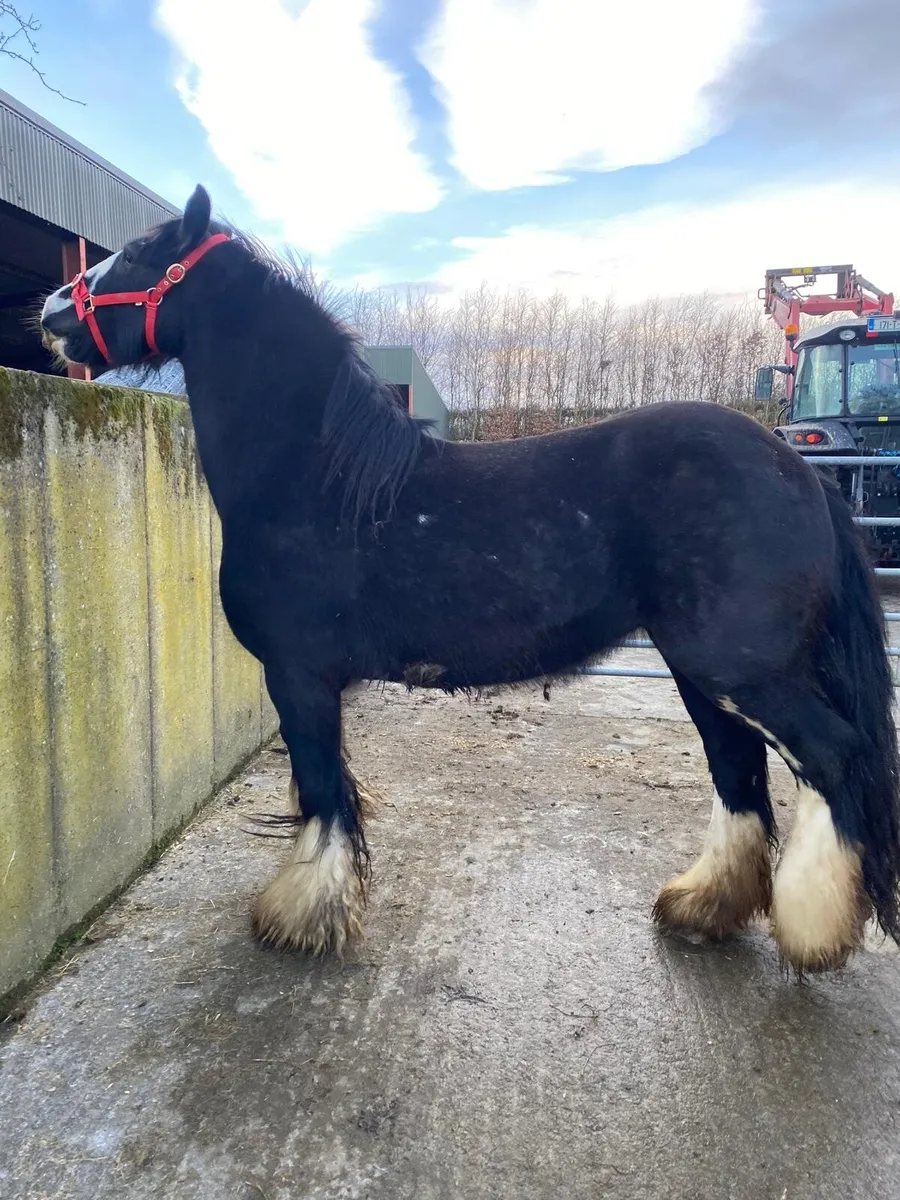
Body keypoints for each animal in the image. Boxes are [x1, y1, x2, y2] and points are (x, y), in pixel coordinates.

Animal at [40, 185, 900, 975]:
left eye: (141, 253)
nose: (50, 309)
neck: (312, 477)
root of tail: (798, 469)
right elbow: (331, 790)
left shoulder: (298, 676)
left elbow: (320, 791)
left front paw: (302, 918)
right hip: (705, 673)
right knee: (739, 772)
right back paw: (704, 906)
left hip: (743, 669)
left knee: (833, 757)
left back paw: (813, 931)